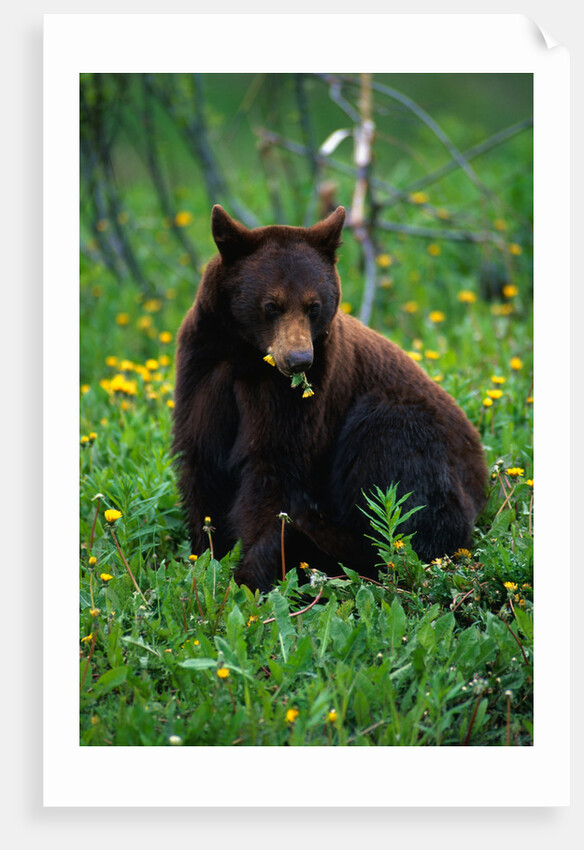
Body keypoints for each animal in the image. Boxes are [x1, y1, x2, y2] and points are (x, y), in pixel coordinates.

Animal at [172, 205, 488, 592]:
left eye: (313, 306)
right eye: (271, 305)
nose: (299, 360)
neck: (247, 358)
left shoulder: (302, 395)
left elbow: (276, 469)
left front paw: (251, 574)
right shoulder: (204, 367)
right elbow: (203, 459)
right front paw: (207, 555)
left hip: (399, 426)